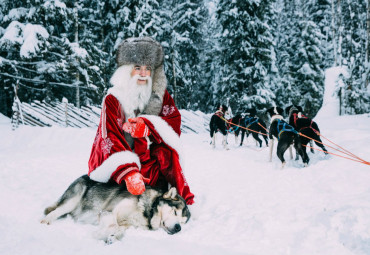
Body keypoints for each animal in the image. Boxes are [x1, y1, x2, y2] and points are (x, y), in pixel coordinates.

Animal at [40, 175, 191, 243]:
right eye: (175, 212)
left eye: (182, 222)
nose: (178, 228)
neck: (147, 210)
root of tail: (84, 176)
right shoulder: (108, 211)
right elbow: (113, 224)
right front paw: (100, 235)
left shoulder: (128, 224)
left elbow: (120, 230)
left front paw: (113, 237)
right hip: (72, 201)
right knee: (55, 211)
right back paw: (45, 221)